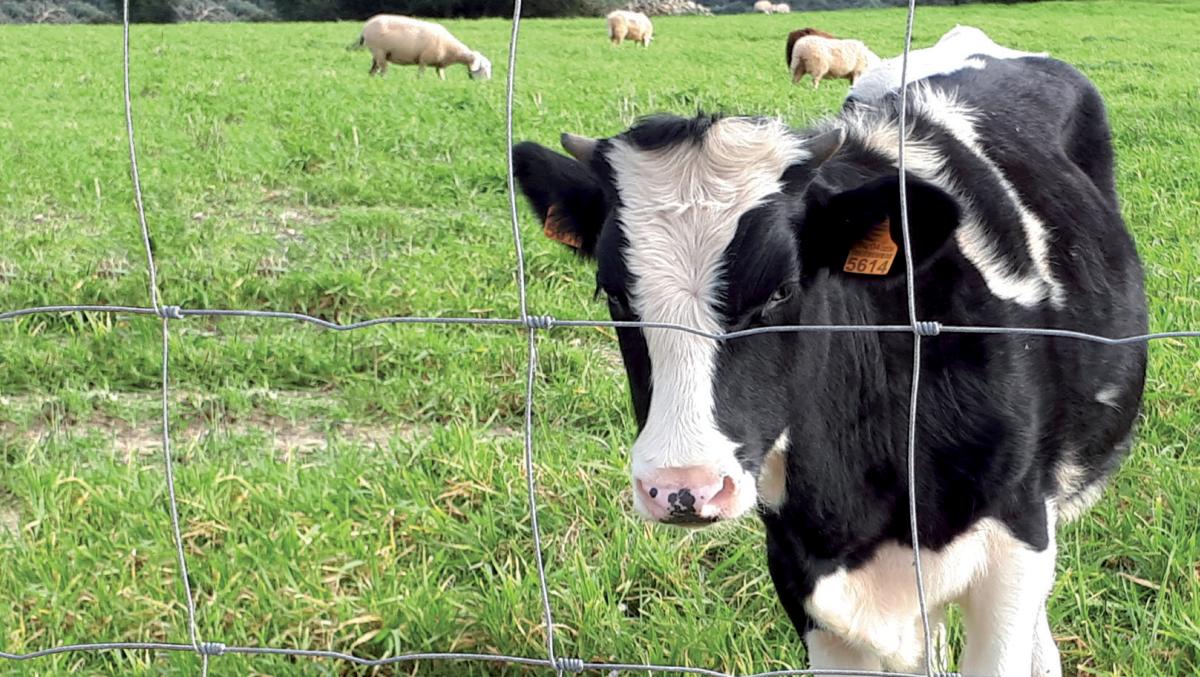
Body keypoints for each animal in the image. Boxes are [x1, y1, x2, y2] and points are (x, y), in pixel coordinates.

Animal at [354, 14, 492, 81]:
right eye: (484, 68)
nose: (487, 84)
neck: (451, 51)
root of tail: (365, 27)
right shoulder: (423, 60)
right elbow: (420, 75)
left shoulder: (439, 65)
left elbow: (441, 77)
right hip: (379, 52)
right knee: (383, 71)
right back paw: (385, 81)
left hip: (376, 55)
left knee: (372, 71)